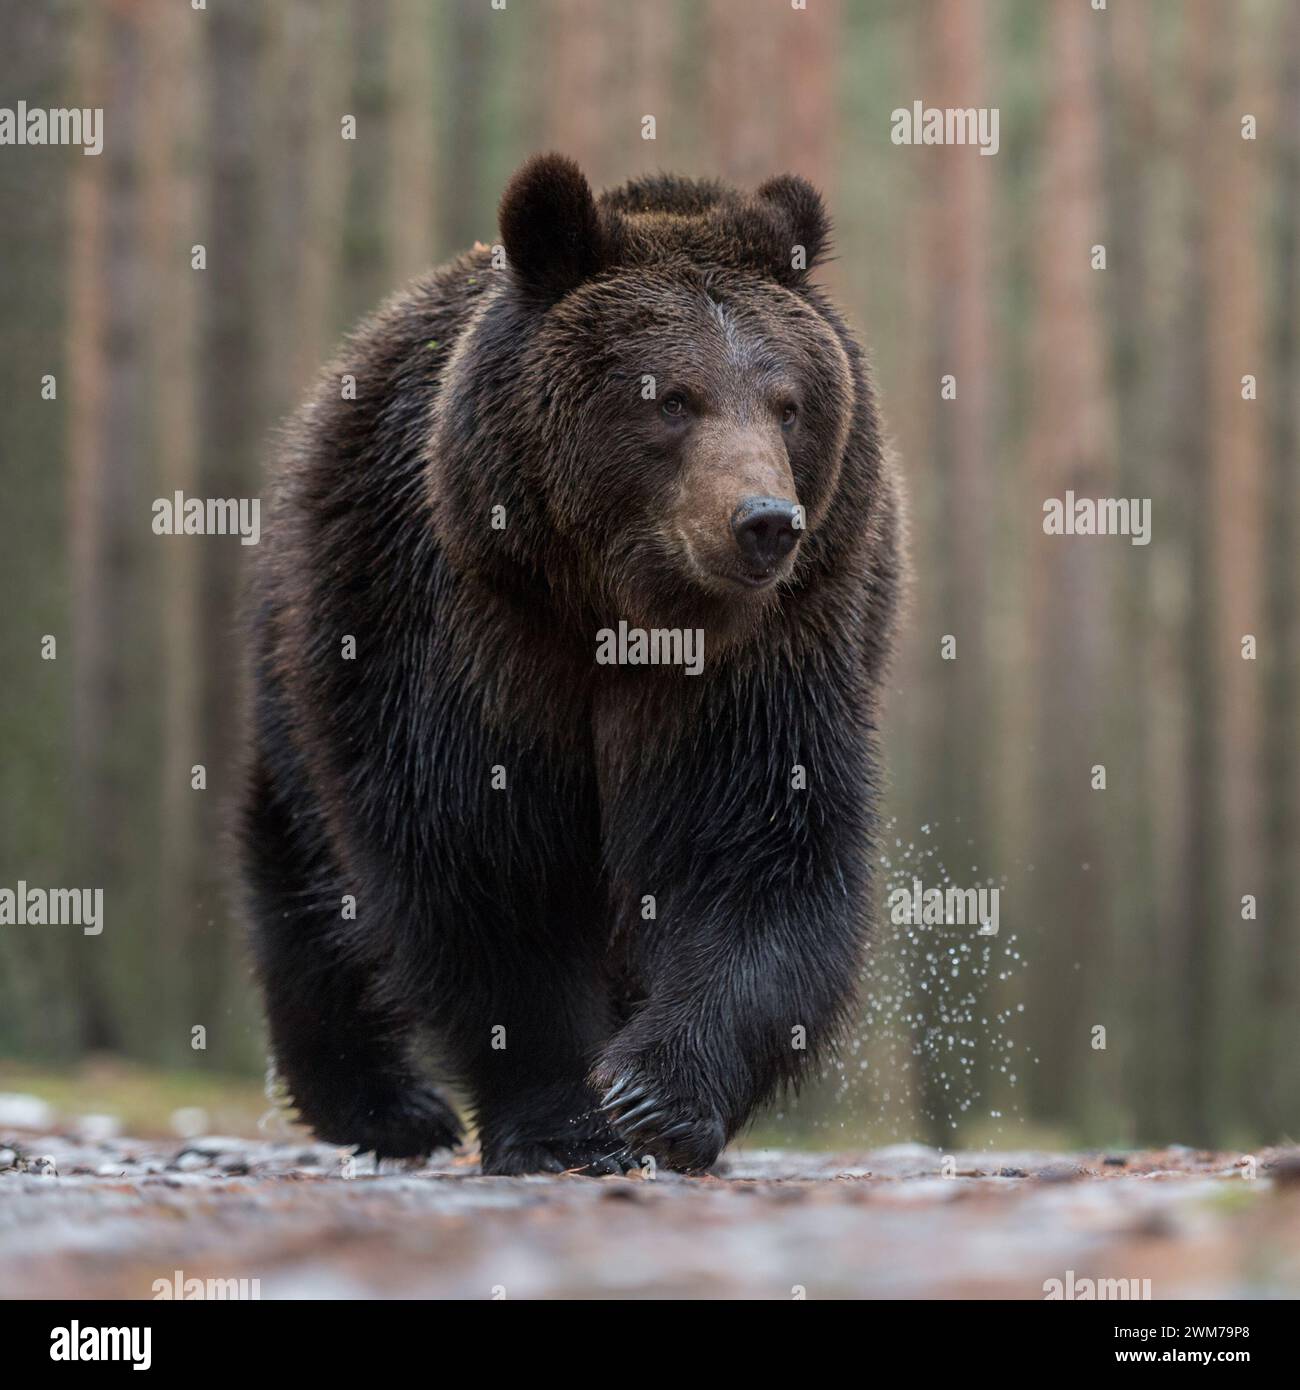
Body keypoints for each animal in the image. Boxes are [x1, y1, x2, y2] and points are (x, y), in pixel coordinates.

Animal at [238, 153, 903, 1175]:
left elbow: (760, 851)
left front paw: (656, 1095)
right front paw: (563, 1125)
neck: (621, 613)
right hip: (314, 642)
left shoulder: (768, 661)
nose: (764, 521)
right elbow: (480, 862)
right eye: (671, 397)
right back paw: (387, 1105)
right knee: (311, 874)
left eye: (788, 403)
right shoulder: (467, 630)